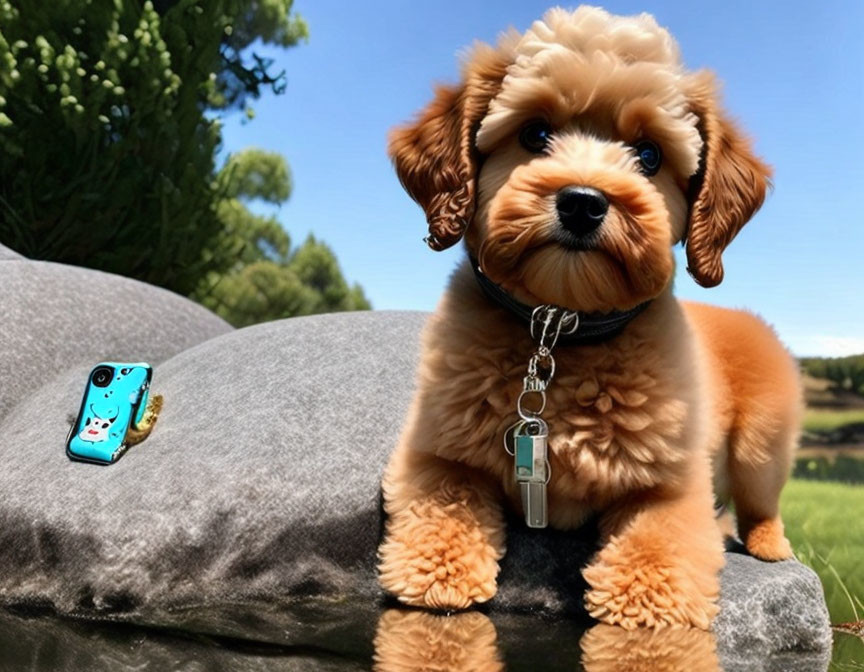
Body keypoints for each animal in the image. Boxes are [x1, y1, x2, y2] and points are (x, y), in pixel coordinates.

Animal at [378, 6, 804, 632]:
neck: (560, 331)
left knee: (762, 504)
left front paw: (645, 604)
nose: (582, 201)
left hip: (762, 445)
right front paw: (437, 576)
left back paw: (770, 544)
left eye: (650, 155)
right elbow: (444, 504)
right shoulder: (432, 450)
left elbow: (655, 550)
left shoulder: (674, 486)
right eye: (534, 133)